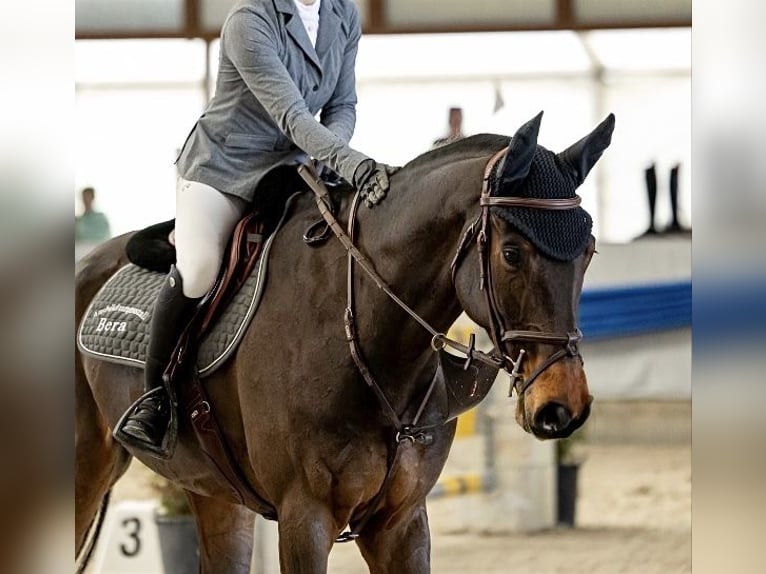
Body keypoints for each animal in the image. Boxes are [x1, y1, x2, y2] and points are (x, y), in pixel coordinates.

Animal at [75, 111, 614, 574]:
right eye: (512, 253)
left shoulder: (401, 523)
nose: (563, 407)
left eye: (589, 251)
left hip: (213, 492)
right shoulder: (304, 518)